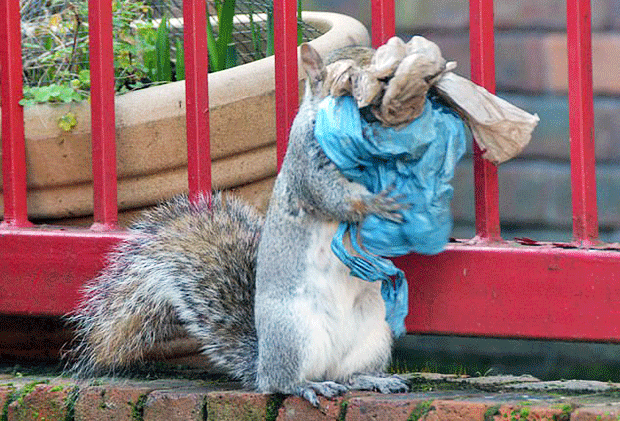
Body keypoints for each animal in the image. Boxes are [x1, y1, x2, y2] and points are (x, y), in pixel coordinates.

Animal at [66, 42, 412, 404]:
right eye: (347, 76)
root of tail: (261, 366)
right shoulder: (308, 167)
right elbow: (333, 198)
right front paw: (379, 202)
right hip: (294, 333)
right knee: (283, 383)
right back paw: (308, 385)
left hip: (374, 333)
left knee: (348, 373)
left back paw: (371, 379)